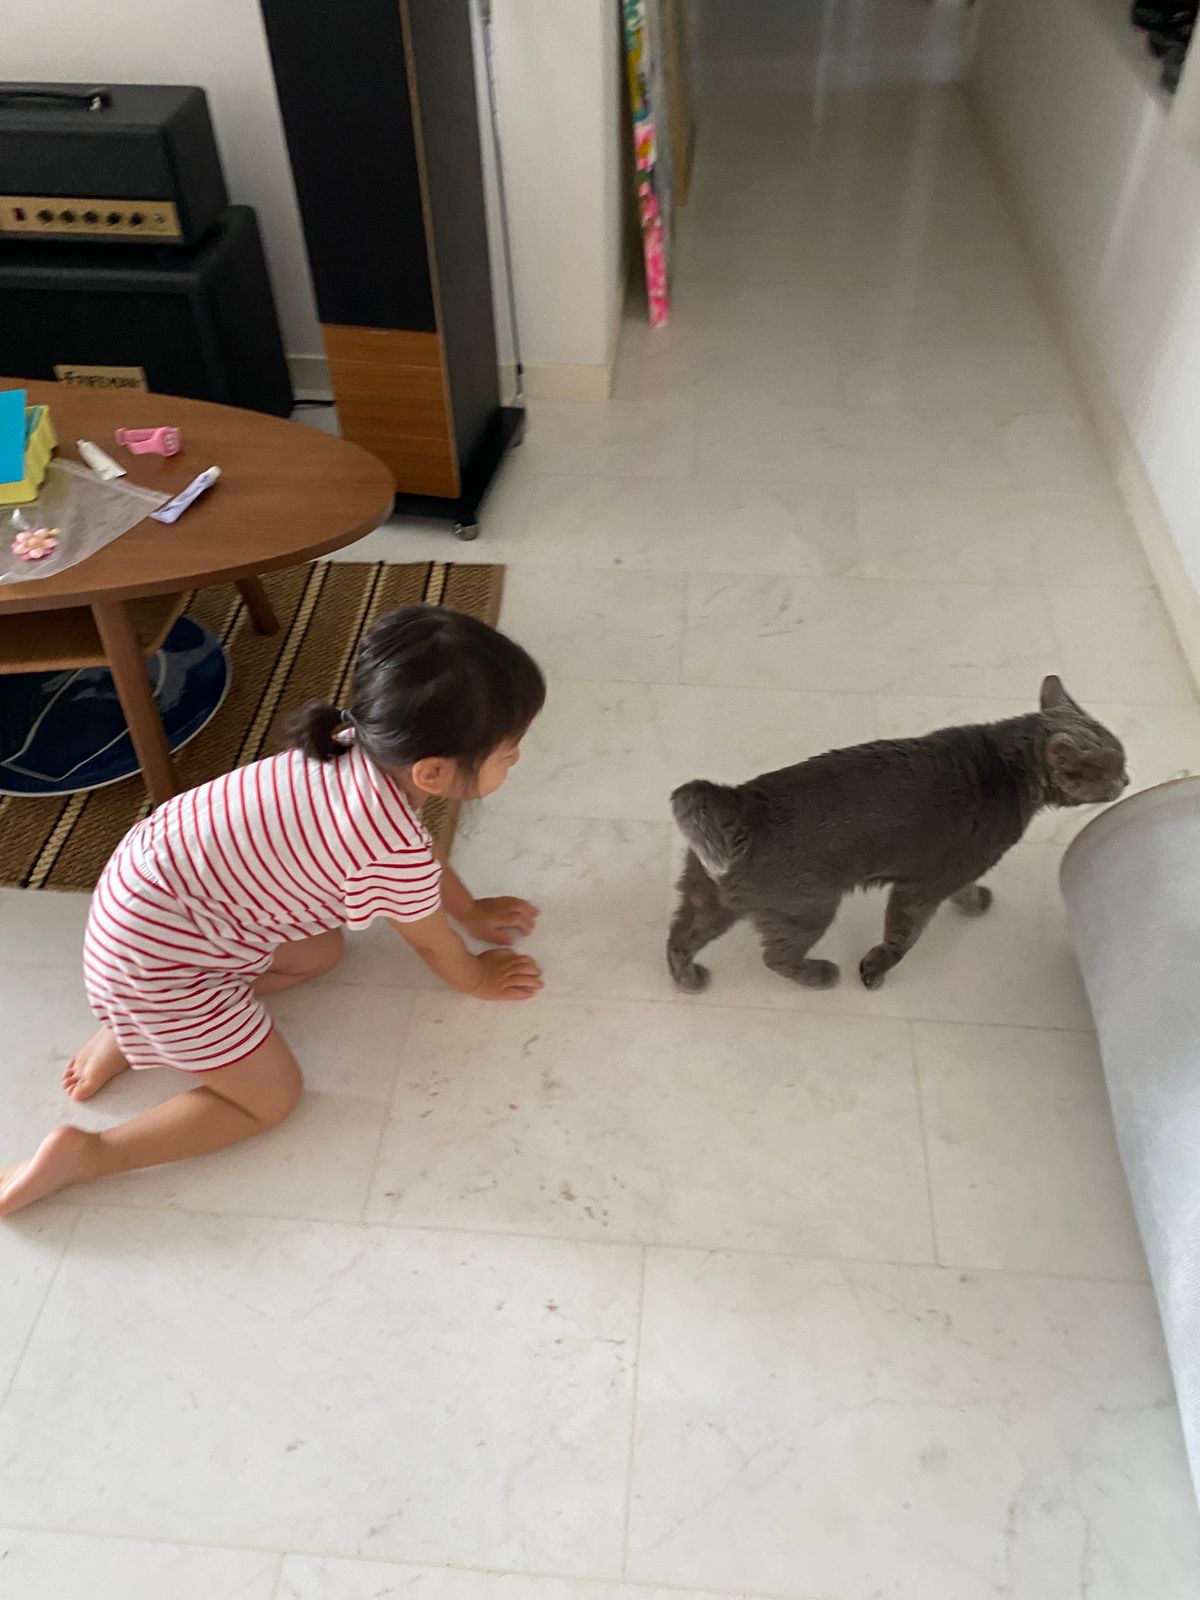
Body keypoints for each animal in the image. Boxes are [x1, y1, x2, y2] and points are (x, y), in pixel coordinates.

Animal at [667, 676, 1127, 994]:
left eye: (1123, 761)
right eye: (1112, 768)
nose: (1128, 779)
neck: (1008, 766)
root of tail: (737, 801)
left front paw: (976, 902)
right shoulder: (928, 883)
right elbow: (903, 936)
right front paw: (875, 968)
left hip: (708, 897)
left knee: (680, 937)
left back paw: (689, 979)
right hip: (810, 907)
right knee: (776, 956)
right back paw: (822, 974)